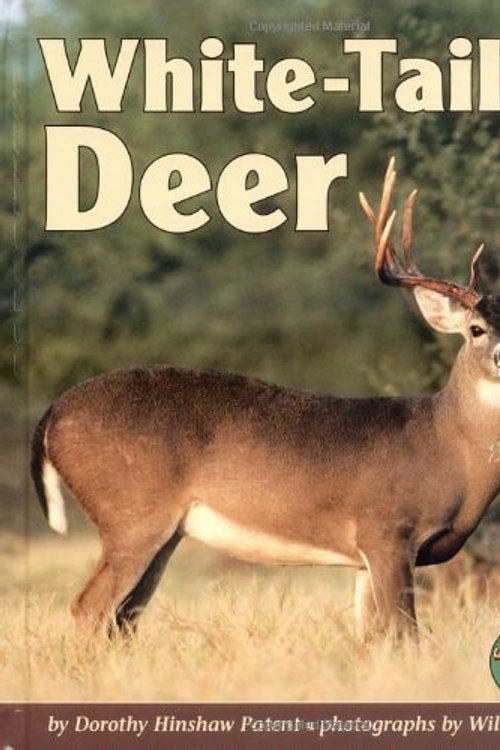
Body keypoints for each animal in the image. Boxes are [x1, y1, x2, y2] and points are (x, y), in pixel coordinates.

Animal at [31, 158, 500, 642]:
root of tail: (52, 415)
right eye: (476, 330)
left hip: (162, 532)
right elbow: (404, 634)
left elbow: (371, 636)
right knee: (89, 607)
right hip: (130, 514)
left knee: (123, 618)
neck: (444, 445)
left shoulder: (366, 558)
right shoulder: (388, 530)